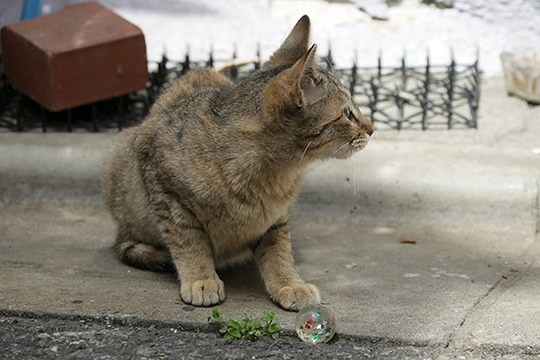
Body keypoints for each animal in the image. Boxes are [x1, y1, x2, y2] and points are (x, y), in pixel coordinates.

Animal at [100, 15, 372, 310]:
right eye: (347, 114)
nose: (371, 128)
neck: (275, 172)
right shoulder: (164, 188)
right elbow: (189, 241)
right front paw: (201, 277)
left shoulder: (276, 216)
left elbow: (277, 249)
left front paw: (288, 282)